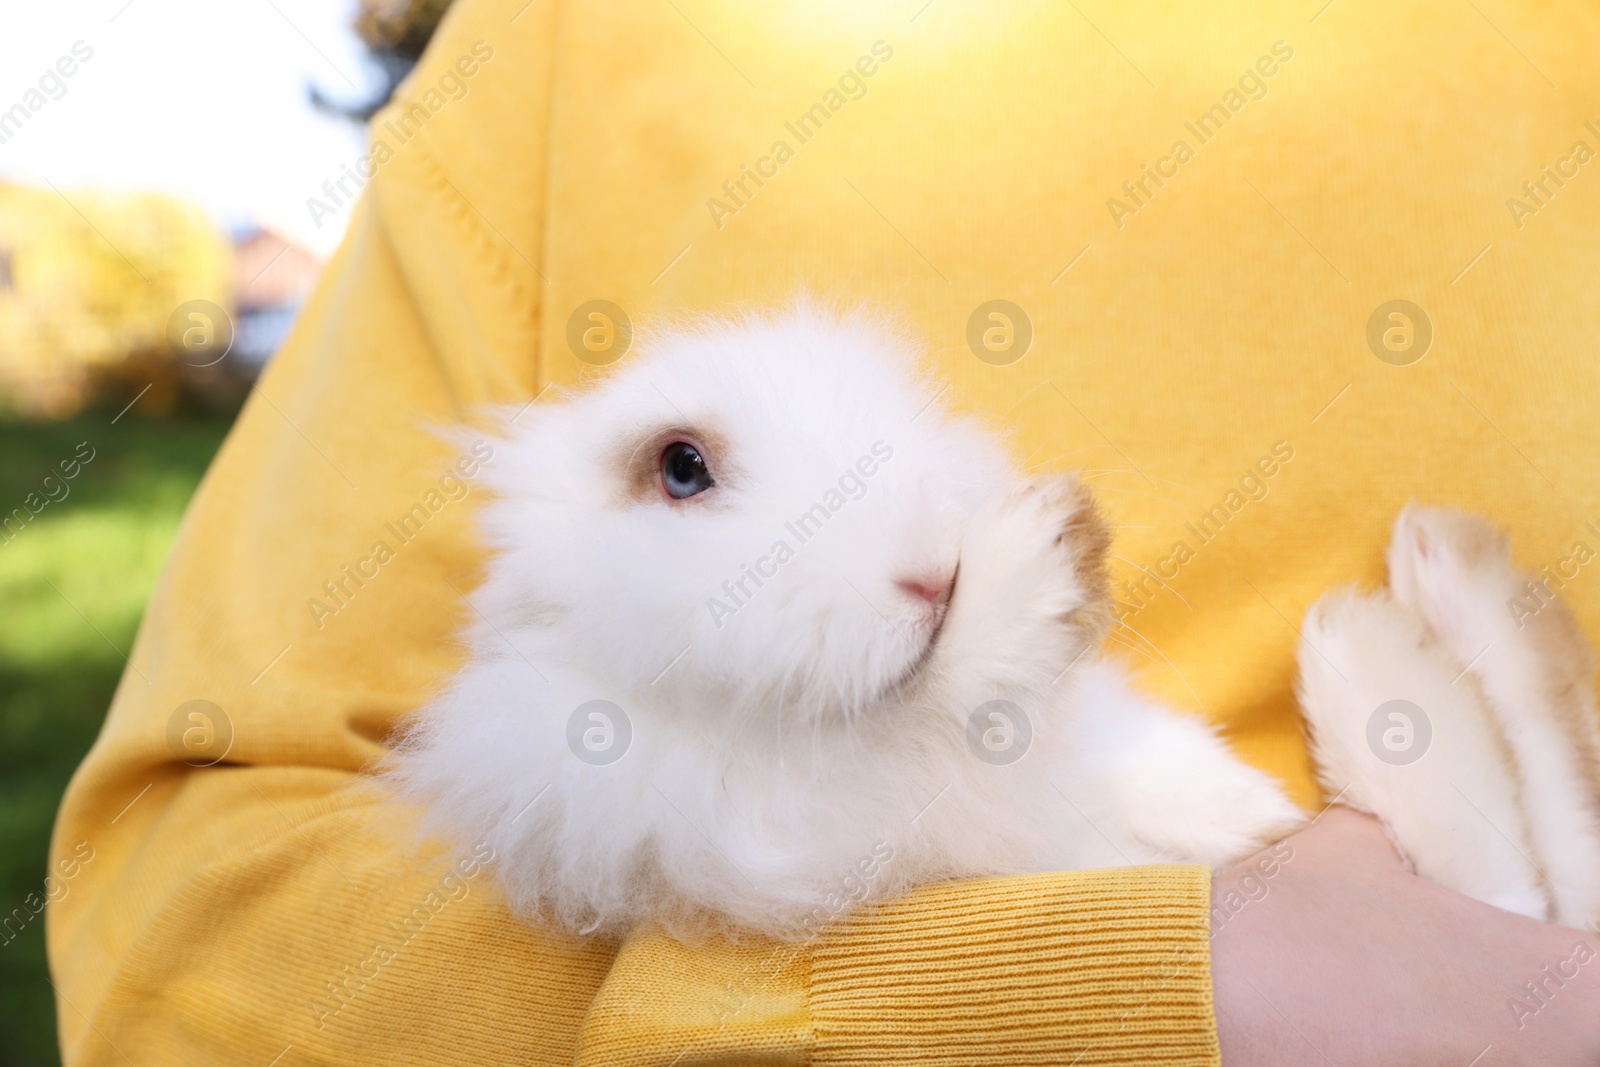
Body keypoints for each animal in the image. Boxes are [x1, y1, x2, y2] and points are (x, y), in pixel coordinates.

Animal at [393, 303, 1600, 940]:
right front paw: (1039, 563)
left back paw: (1414, 596)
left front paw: (1250, 813)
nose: (933, 569)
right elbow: (954, 715)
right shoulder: (776, 824)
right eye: (680, 467)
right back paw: (1391, 627)